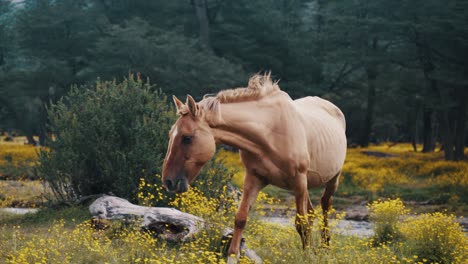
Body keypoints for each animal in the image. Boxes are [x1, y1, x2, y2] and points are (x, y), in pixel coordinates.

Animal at [162, 73, 348, 262]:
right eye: (171, 134)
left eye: (187, 138)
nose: (168, 181)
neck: (271, 132)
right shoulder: (254, 178)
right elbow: (240, 218)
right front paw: (232, 257)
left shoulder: (298, 180)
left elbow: (300, 223)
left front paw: (307, 257)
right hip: (305, 185)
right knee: (311, 212)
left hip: (330, 180)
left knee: (325, 206)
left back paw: (325, 248)